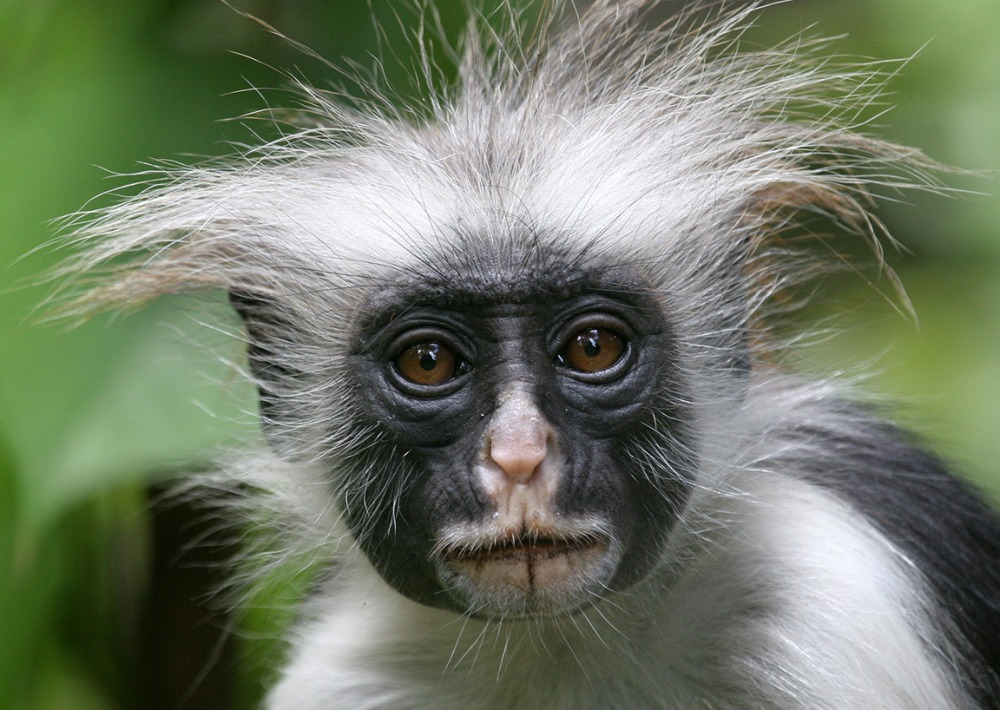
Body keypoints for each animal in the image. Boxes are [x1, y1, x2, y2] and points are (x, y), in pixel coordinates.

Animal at [54, 1, 1000, 710]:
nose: (517, 458)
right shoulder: (346, 675)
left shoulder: (836, 604)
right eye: (429, 363)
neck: (563, 645)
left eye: (592, 347)